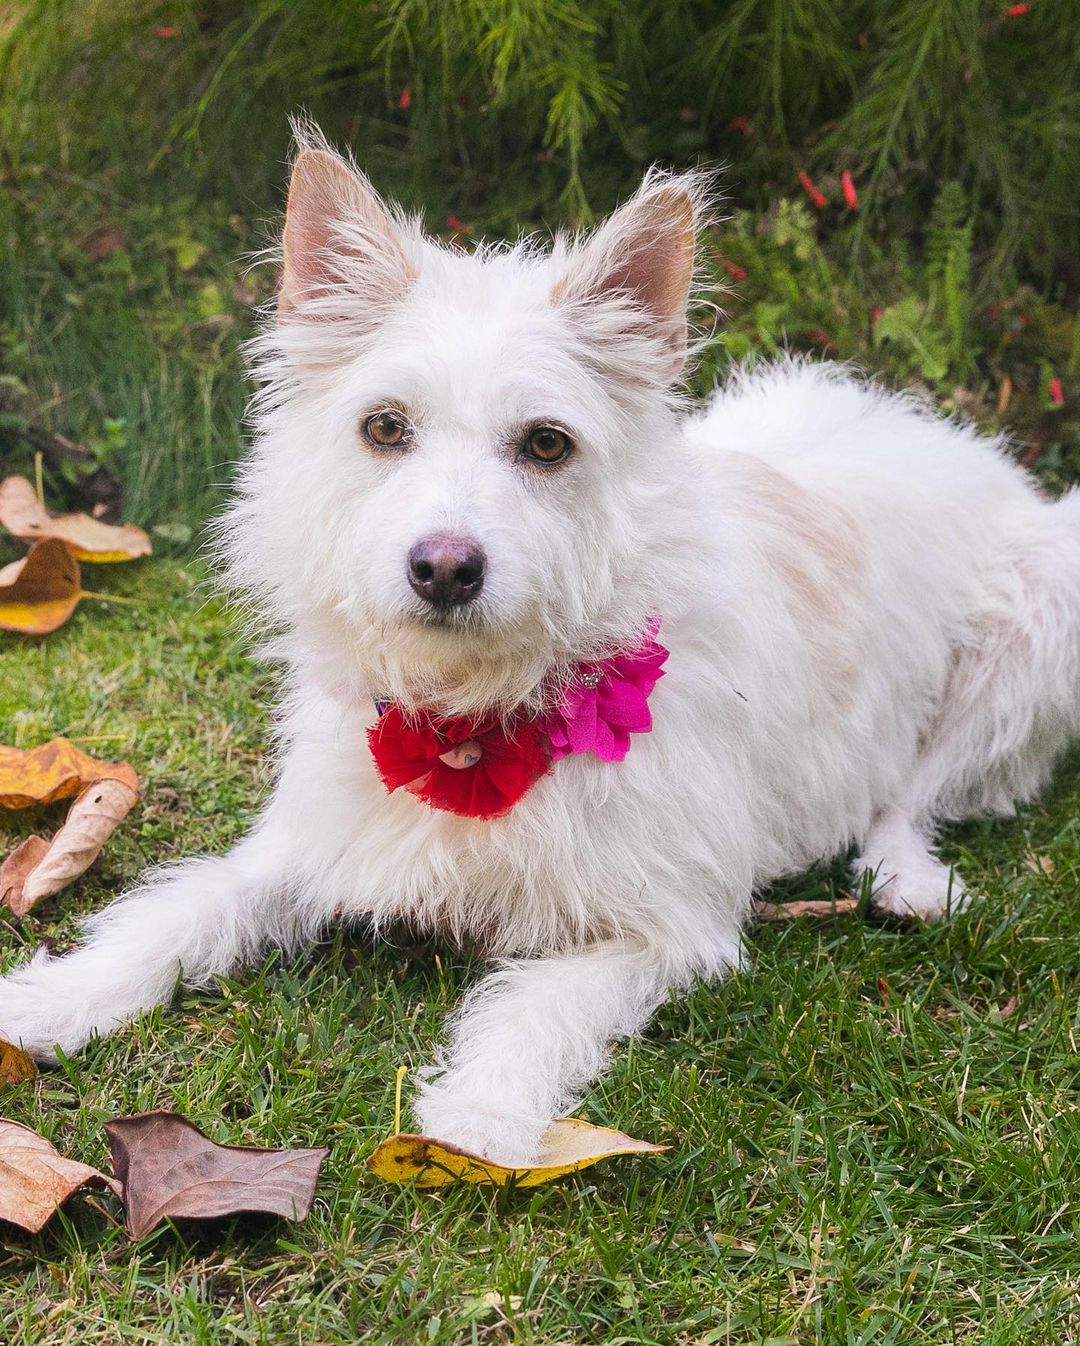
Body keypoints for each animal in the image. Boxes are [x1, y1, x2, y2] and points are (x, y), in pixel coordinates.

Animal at [2, 126, 1077, 1168]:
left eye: (548, 444)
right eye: (384, 427)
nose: (443, 569)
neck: (477, 717)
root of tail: (942, 431)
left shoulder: (658, 931)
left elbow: (535, 1007)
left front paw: (479, 1120)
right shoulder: (302, 849)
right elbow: (178, 911)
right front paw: (53, 1002)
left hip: (1032, 635)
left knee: (915, 795)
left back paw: (904, 879)